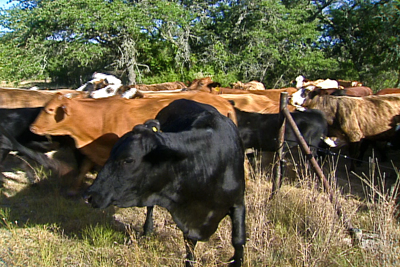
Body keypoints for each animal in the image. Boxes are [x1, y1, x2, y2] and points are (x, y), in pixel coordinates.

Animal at [85, 99, 247, 266]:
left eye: (128, 160)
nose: (90, 195)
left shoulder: (238, 202)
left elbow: (238, 240)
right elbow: (190, 246)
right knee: (150, 208)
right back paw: (147, 230)